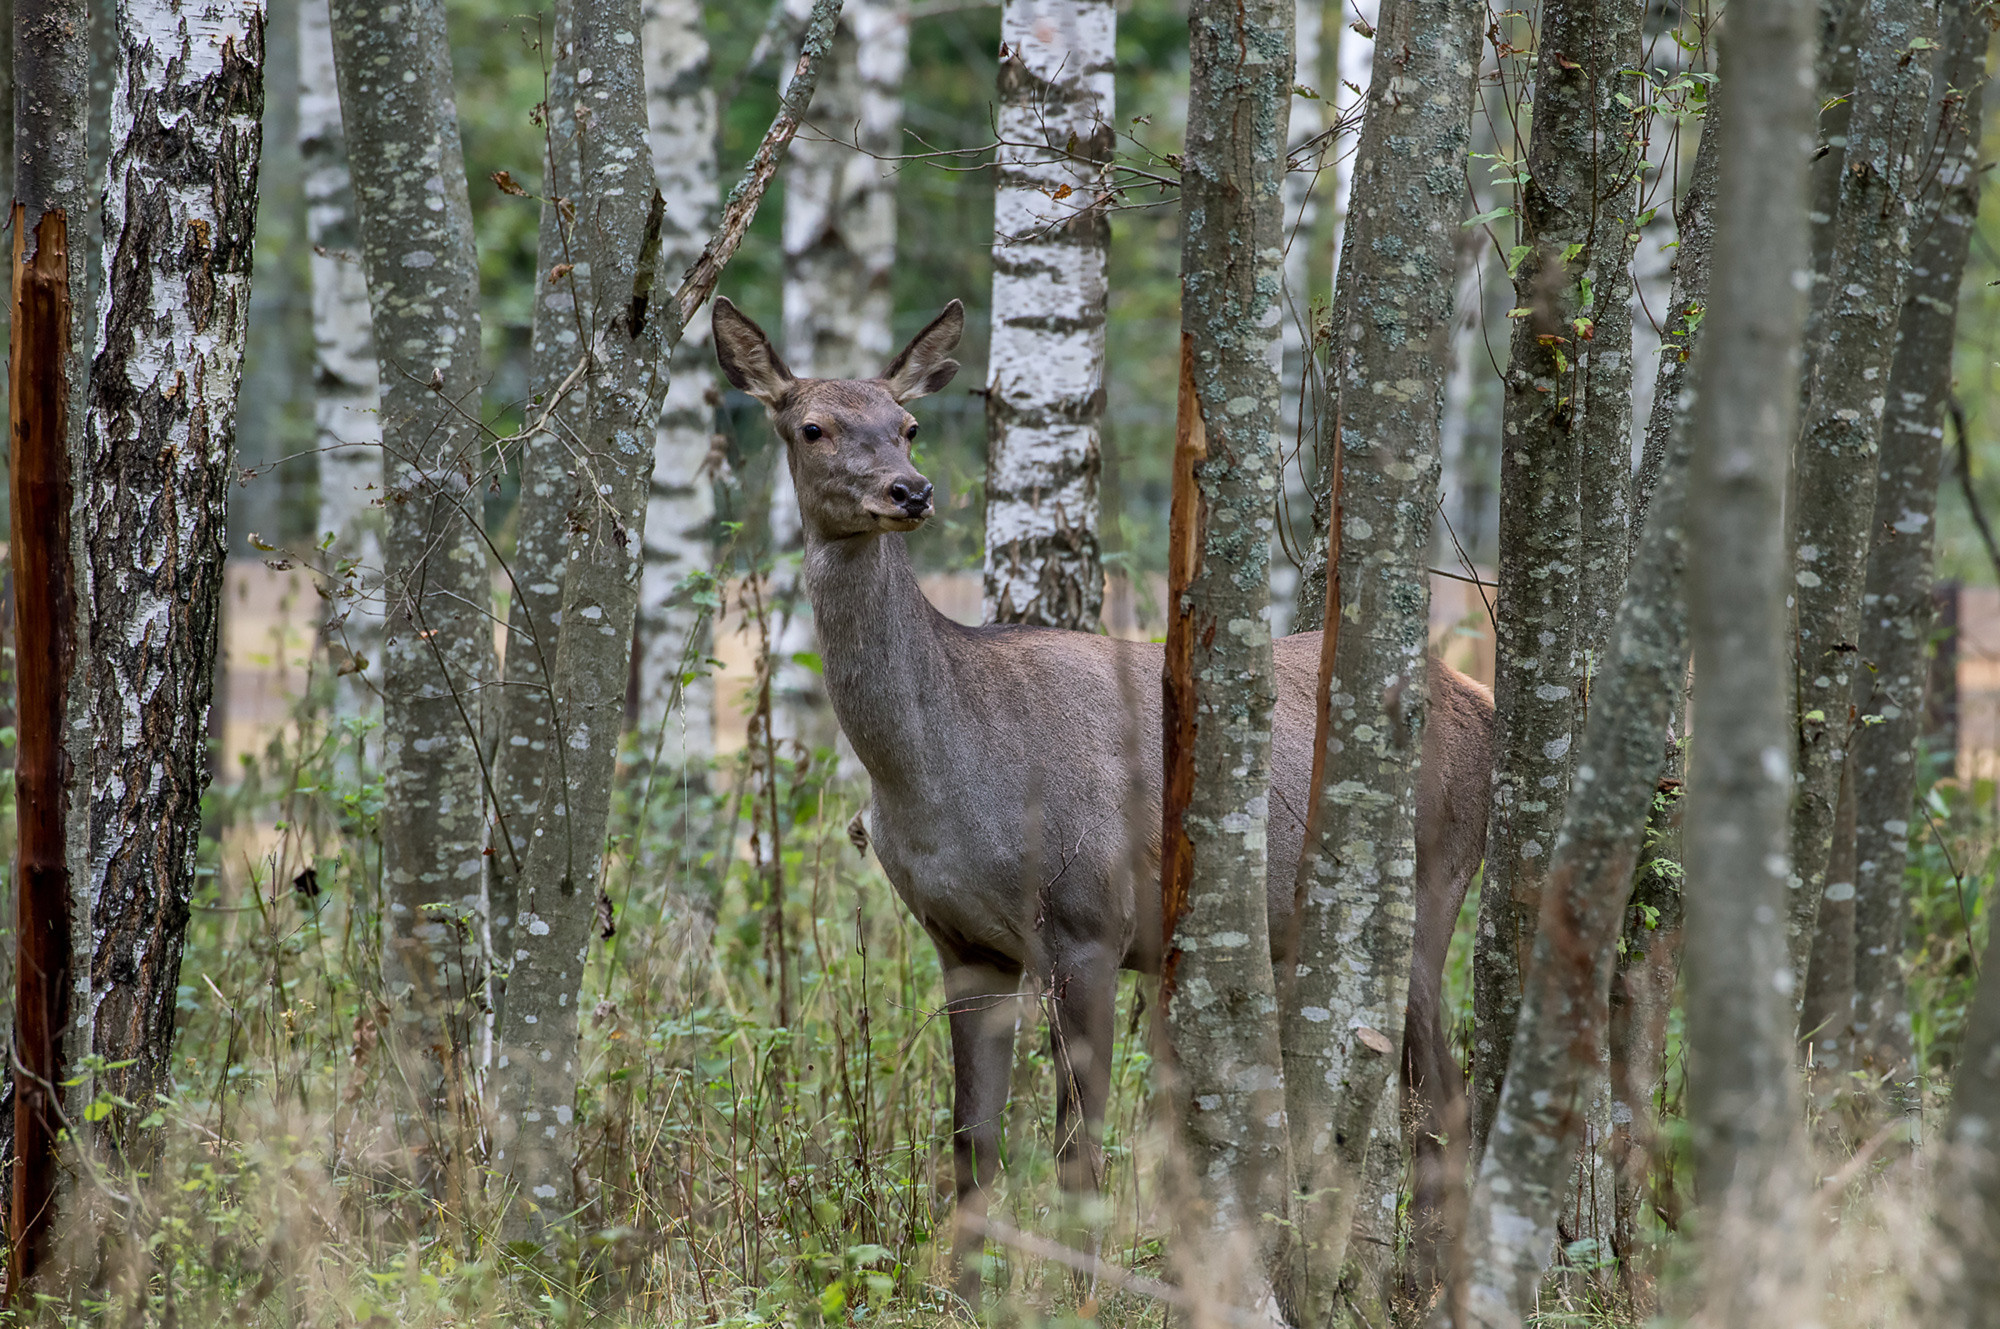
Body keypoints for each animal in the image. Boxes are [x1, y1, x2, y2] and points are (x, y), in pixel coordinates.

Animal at [711, 295, 1494, 1307]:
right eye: (812, 426)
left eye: (908, 423)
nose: (909, 491)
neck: (942, 778)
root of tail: (1475, 693)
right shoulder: (962, 942)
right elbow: (972, 1142)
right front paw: (967, 1293)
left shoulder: (1087, 921)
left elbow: (1079, 1149)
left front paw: (1080, 1293)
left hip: (1429, 891)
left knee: (1444, 1097)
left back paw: (1433, 1283)